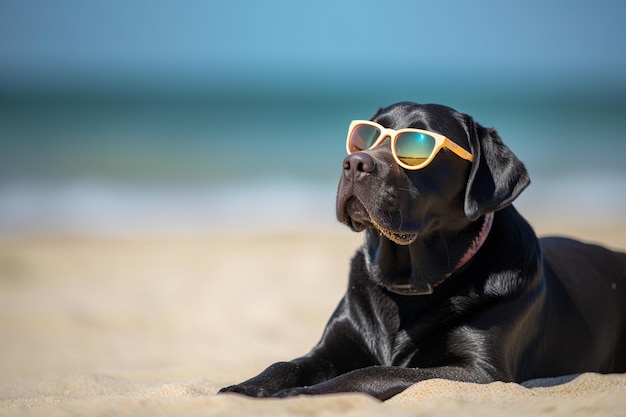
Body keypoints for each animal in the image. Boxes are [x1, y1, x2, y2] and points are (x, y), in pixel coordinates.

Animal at [219, 101, 624, 400]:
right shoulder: (332, 346)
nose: (354, 163)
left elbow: (373, 372)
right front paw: (242, 389)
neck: (405, 283)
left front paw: (295, 395)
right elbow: (284, 365)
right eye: (365, 137)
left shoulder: (481, 372)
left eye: (416, 149)